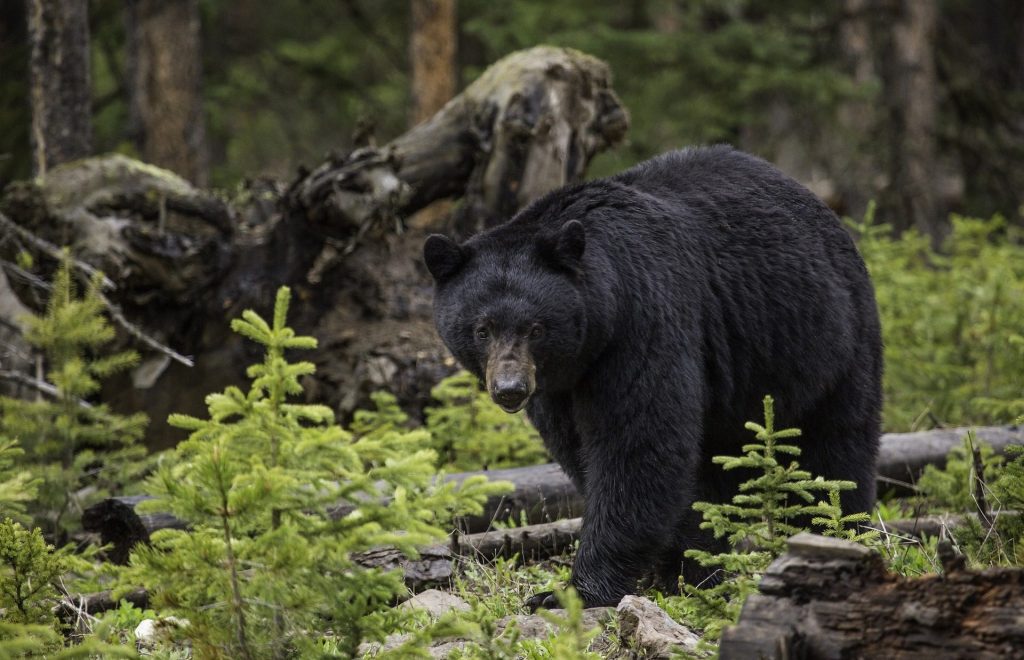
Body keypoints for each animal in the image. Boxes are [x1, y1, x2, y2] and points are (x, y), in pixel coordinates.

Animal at [423, 145, 882, 610]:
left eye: (535, 328)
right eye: (482, 329)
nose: (510, 389)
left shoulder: (643, 321)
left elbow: (638, 444)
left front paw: (573, 591)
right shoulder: (559, 386)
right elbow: (583, 450)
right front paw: (677, 568)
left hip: (828, 342)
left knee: (834, 450)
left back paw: (833, 534)